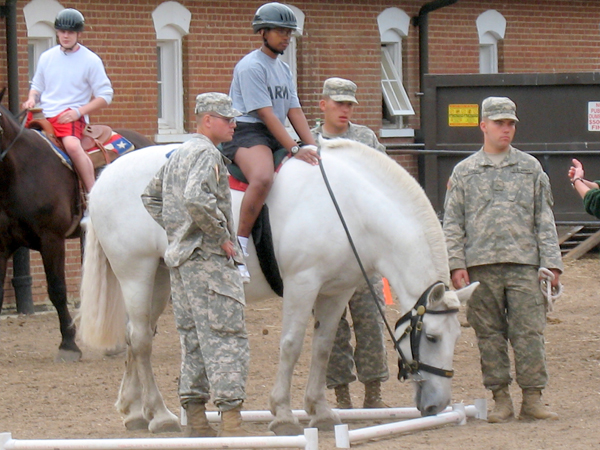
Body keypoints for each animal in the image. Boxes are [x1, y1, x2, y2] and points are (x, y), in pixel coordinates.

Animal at [77, 138, 478, 436]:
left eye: (457, 337)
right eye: (433, 338)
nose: (438, 405)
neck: (352, 208)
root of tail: (106, 176)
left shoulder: (337, 291)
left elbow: (322, 347)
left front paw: (321, 412)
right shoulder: (303, 283)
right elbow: (291, 344)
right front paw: (283, 414)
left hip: (161, 278)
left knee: (135, 336)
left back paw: (134, 412)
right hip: (136, 273)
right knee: (142, 340)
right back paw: (160, 416)